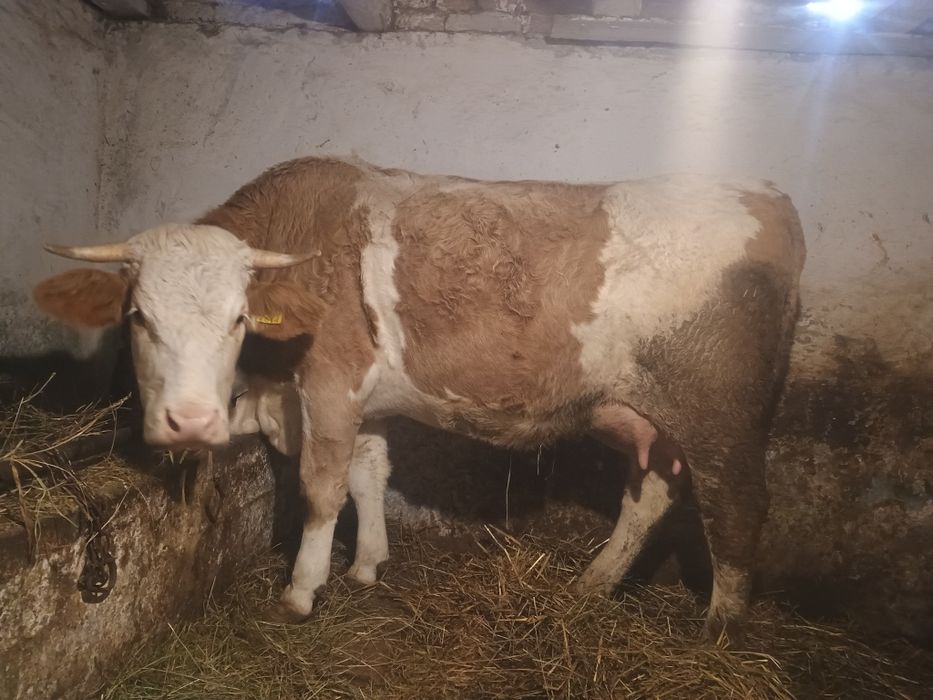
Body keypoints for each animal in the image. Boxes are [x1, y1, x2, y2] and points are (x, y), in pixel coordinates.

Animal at [33, 157, 805, 642]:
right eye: (138, 316)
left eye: (237, 318)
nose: (188, 421)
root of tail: (768, 195)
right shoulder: (364, 403)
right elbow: (369, 476)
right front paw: (368, 564)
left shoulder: (329, 385)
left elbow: (321, 487)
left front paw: (301, 591)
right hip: (642, 414)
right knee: (651, 494)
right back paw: (594, 584)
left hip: (722, 418)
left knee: (738, 508)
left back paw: (718, 628)